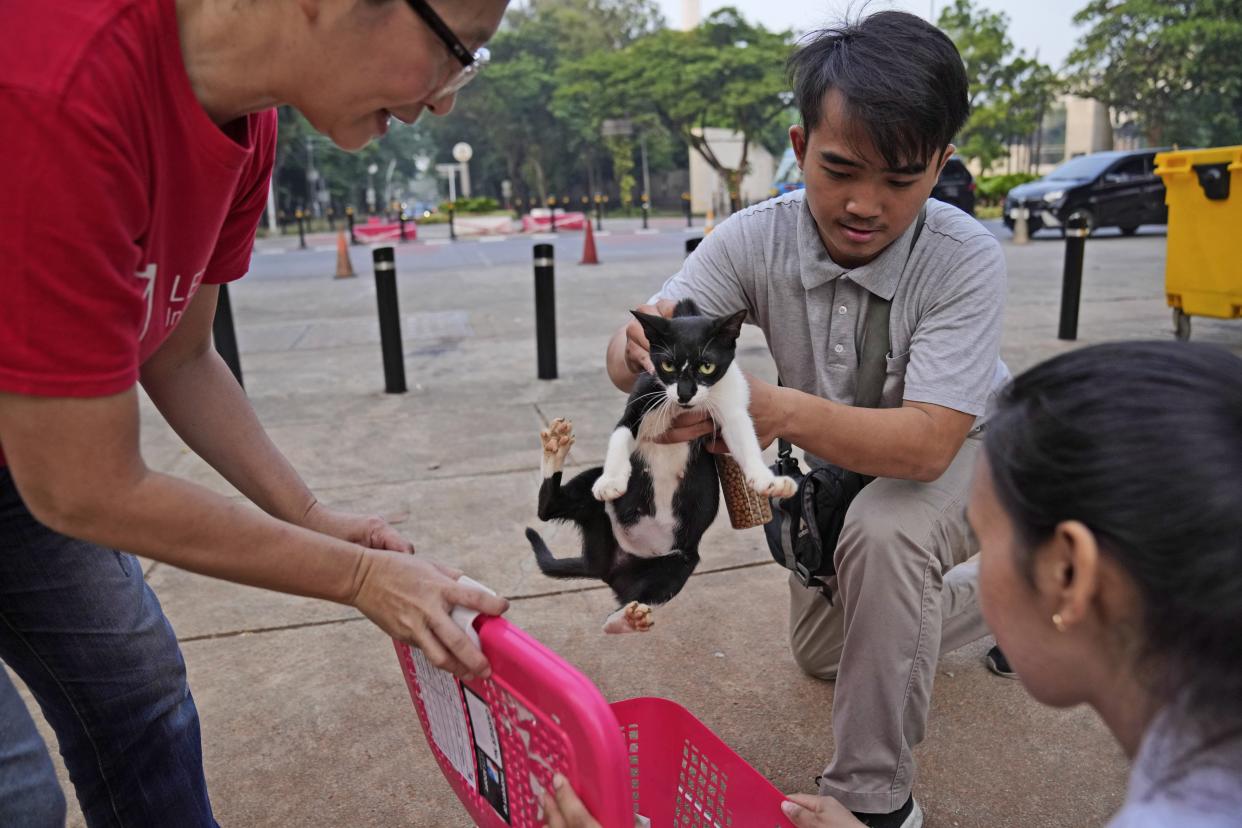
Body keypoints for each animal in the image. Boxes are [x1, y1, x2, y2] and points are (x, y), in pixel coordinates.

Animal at [521, 301, 794, 630]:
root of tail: (606, 566)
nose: (685, 393)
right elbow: (621, 433)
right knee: (548, 507)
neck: (679, 408)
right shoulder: (642, 396)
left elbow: (744, 438)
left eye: (706, 366)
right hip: (593, 501)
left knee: (623, 609)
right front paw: (613, 479)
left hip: (678, 564)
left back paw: (631, 617)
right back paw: (556, 448)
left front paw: (766, 479)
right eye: (667, 366)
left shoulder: (731, 404)